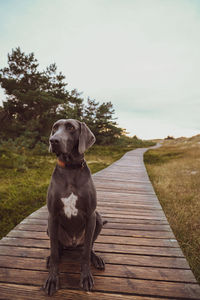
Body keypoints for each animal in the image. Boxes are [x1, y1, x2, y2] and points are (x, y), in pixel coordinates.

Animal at [43, 118, 105, 296]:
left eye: (70, 127)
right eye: (54, 128)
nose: (53, 141)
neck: (70, 169)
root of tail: (73, 243)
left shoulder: (91, 215)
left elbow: (85, 254)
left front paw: (86, 277)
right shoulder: (52, 215)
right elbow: (54, 252)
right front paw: (52, 279)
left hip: (98, 219)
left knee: (88, 247)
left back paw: (95, 258)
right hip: (50, 228)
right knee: (57, 248)